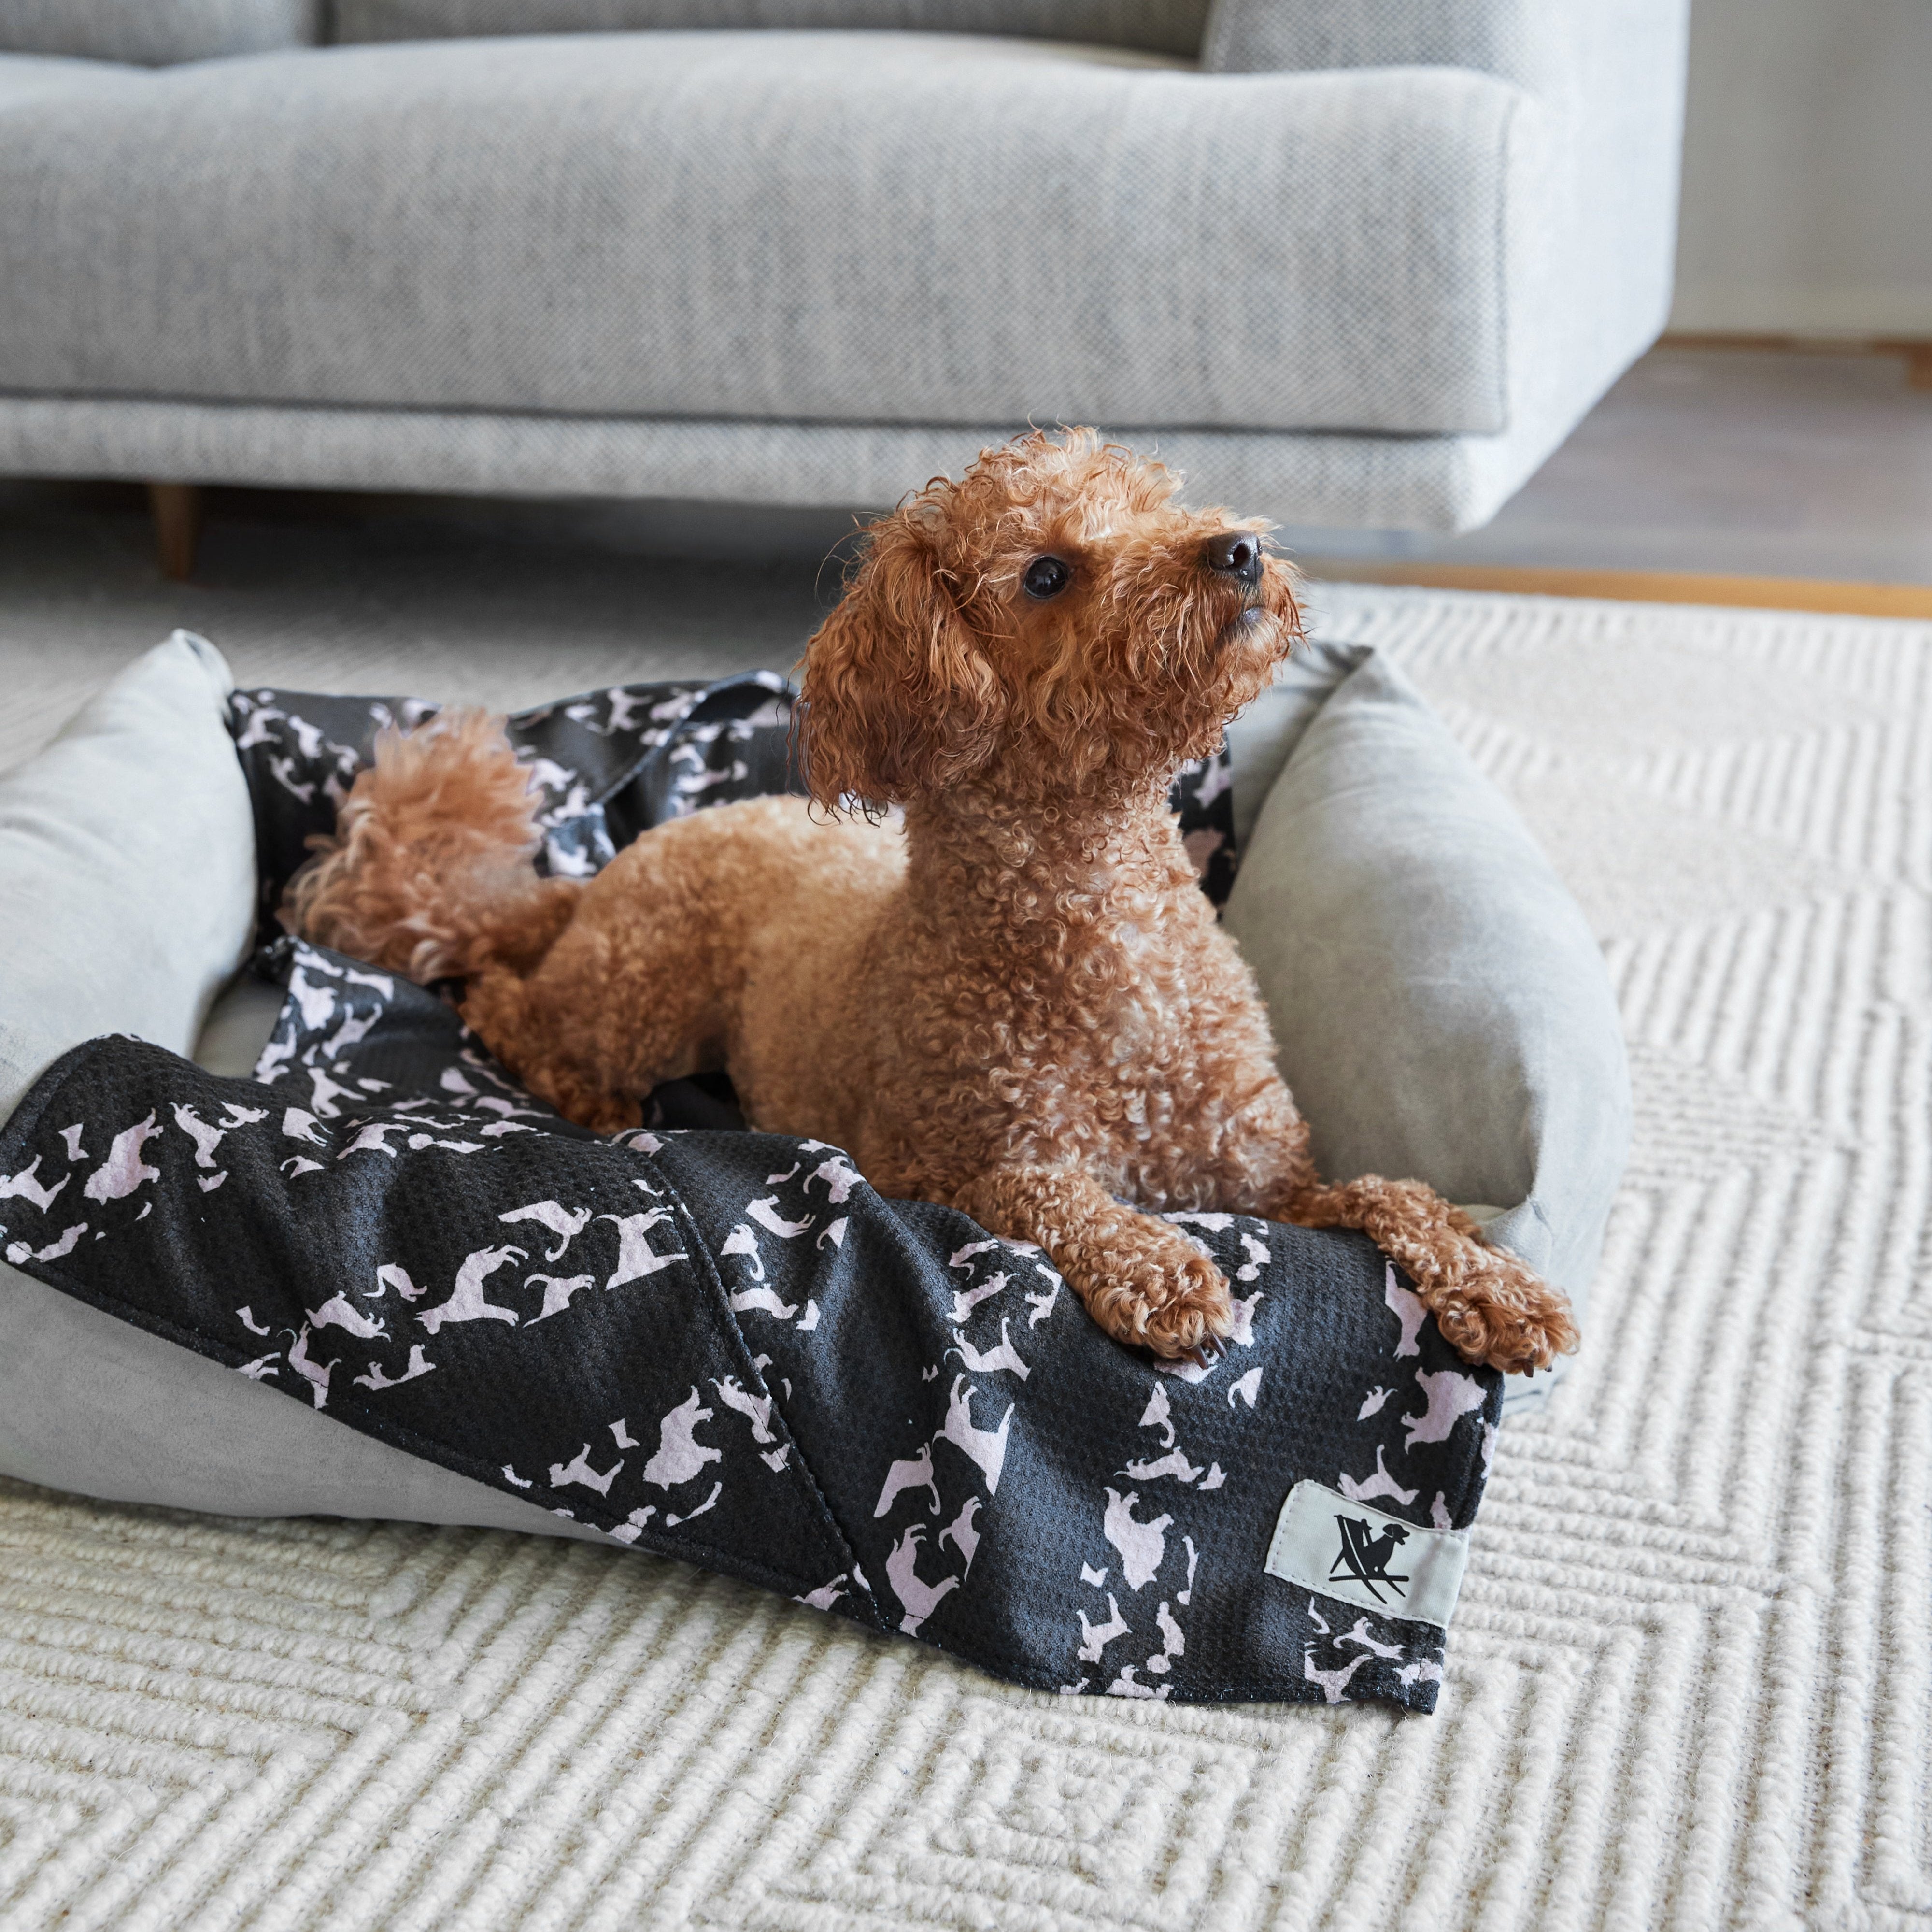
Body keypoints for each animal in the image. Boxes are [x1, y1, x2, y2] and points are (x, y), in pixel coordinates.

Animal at [290, 438, 1584, 1375]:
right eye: (1047, 573)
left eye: (1150, 502)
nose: (1234, 551)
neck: (1104, 917)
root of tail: (614, 865)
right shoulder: (947, 1161)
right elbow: (1047, 1188)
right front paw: (1161, 1270)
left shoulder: (1268, 1179)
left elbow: (1389, 1191)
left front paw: (1499, 1286)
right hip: (637, 996)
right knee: (500, 1003)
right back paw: (589, 1092)